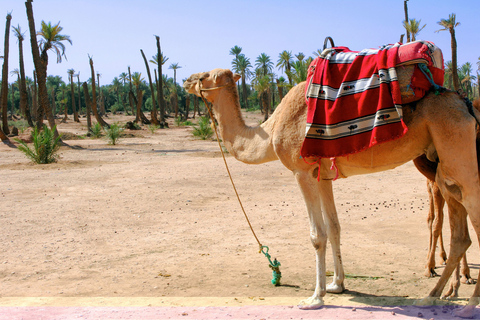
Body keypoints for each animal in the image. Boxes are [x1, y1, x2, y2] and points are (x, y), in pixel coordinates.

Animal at [185, 69, 480, 316]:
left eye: (206, 76)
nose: (187, 80)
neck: (271, 130)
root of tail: (465, 104)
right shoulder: (323, 175)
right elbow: (335, 226)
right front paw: (337, 284)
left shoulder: (302, 171)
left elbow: (317, 235)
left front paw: (315, 297)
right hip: (443, 166)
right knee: (460, 232)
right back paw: (432, 296)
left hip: (457, 150)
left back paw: (466, 304)